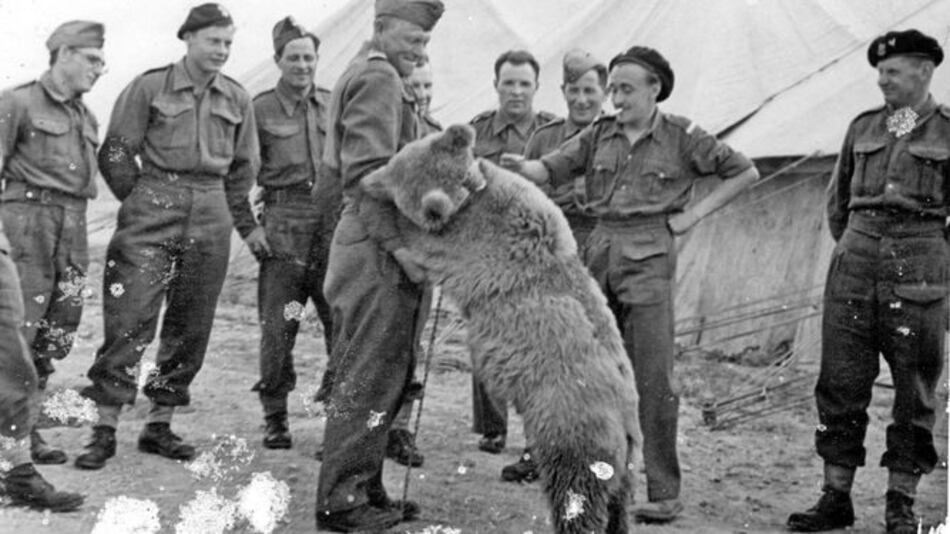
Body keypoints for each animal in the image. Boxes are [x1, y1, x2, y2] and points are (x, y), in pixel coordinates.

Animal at [359, 123, 640, 534]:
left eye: (395, 168)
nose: (367, 178)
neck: (471, 196)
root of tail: (627, 423)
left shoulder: (471, 242)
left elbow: (423, 241)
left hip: (574, 427)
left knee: (575, 491)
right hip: (625, 459)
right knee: (619, 502)